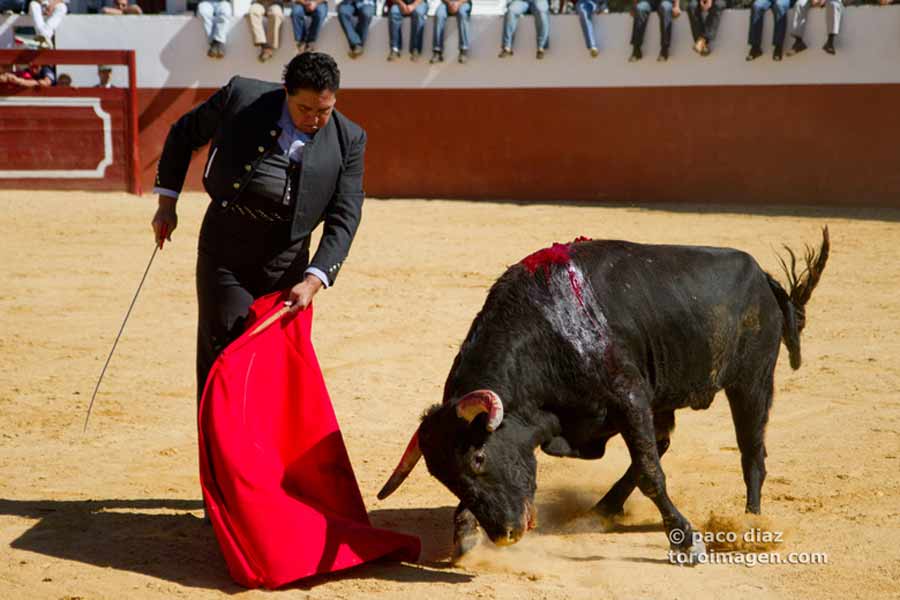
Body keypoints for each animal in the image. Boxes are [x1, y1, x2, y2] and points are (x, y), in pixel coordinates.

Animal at [374, 231, 828, 564]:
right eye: (445, 478)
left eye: (479, 458)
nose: (505, 535)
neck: (547, 335)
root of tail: (763, 276)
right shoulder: (632, 406)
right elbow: (646, 461)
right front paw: (466, 531)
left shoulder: (629, 397)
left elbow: (650, 473)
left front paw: (686, 541)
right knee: (664, 443)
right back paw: (601, 510)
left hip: (752, 381)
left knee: (751, 450)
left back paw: (749, 525)